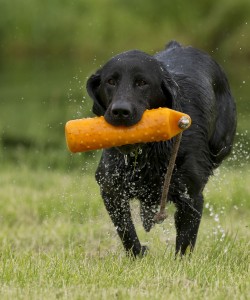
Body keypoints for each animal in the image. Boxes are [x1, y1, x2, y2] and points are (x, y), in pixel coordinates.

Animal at [86, 41, 236, 256]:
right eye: (111, 81)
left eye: (142, 83)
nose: (120, 111)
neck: (147, 151)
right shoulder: (110, 187)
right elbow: (127, 232)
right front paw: (139, 254)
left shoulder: (191, 197)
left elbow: (185, 243)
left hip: (222, 144)